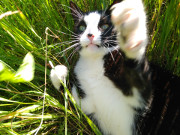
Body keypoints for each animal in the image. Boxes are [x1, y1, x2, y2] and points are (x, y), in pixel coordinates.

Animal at [51, 0, 152, 134]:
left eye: (104, 26)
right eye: (82, 27)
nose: (90, 35)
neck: (94, 63)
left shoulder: (143, 100)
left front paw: (131, 31)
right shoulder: (87, 105)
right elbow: (72, 99)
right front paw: (58, 73)